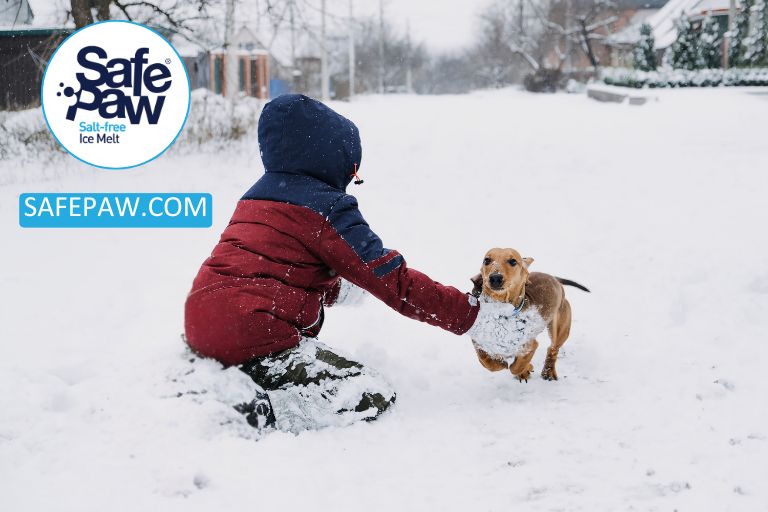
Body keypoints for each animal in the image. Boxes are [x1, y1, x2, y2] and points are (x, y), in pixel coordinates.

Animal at [468, 248, 588, 384]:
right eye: (487, 260)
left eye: (513, 261)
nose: (495, 278)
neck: (501, 312)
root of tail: (554, 278)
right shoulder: (478, 342)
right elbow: (486, 361)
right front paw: (501, 363)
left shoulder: (530, 344)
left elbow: (517, 366)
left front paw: (525, 368)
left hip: (560, 329)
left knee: (552, 349)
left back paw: (548, 372)